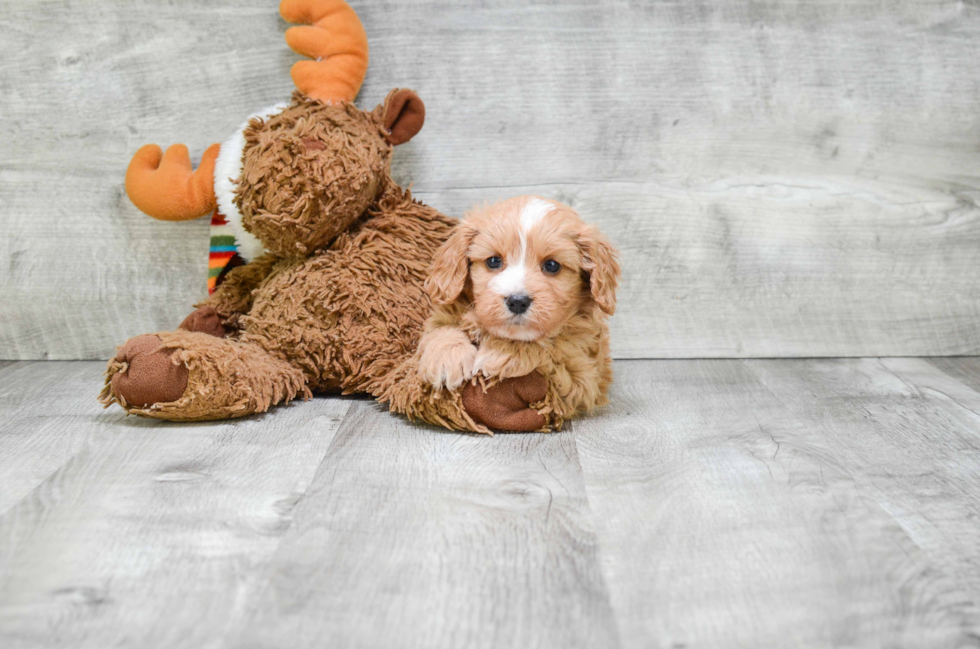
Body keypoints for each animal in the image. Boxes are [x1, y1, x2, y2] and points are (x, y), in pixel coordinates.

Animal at [416, 196, 620, 430]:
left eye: (552, 265)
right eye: (493, 261)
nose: (517, 301)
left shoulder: (581, 377)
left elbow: (550, 347)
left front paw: (502, 352)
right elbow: (441, 327)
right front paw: (446, 358)